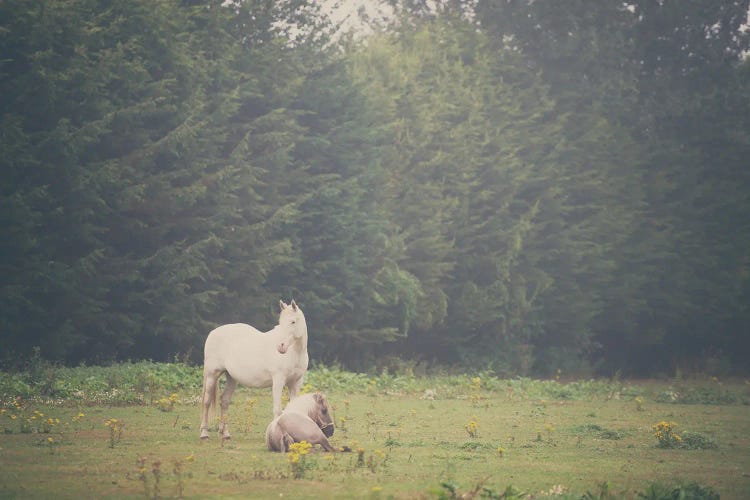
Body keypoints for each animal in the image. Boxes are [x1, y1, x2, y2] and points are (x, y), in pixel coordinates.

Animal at [201, 298, 310, 440]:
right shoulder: (278, 380)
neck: (294, 353)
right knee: (207, 401)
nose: (280, 346)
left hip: (231, 378)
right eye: (280, 322)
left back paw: (225, 434)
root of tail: (213, 333)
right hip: (211, 375)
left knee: (224, 401)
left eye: (293, 321)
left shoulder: (296, 383)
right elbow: (277, 409)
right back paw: (204, 433)